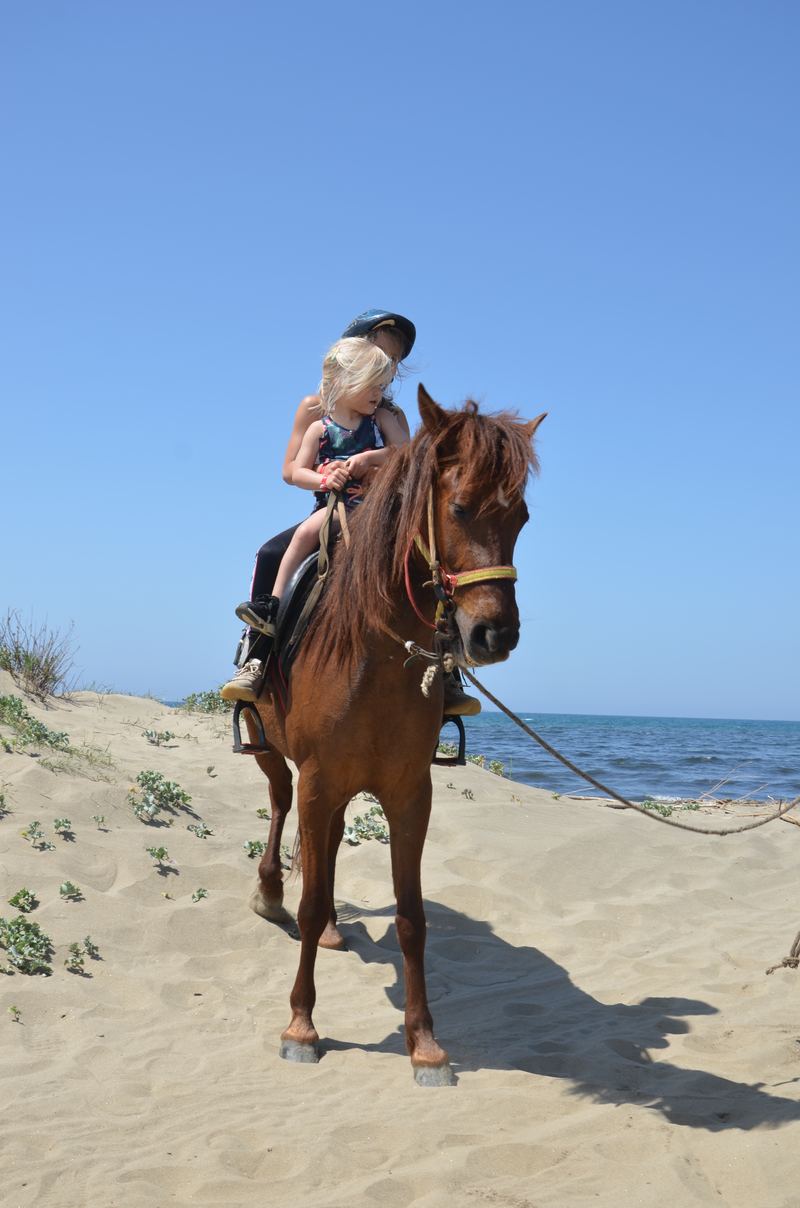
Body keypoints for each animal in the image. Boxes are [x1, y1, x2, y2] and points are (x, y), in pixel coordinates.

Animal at [246, 384, 546, 1085]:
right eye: (458, 507)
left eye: (521, 517)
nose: (495, 635)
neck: (372, 651)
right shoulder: (319, 778)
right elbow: (307, 899)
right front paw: (301, 1026)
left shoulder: (410, 793)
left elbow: (412, 918)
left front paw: (425, 1043)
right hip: (274, 753)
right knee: (280, 808)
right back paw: (270, 892)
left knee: (325, 850)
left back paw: (332, 926)